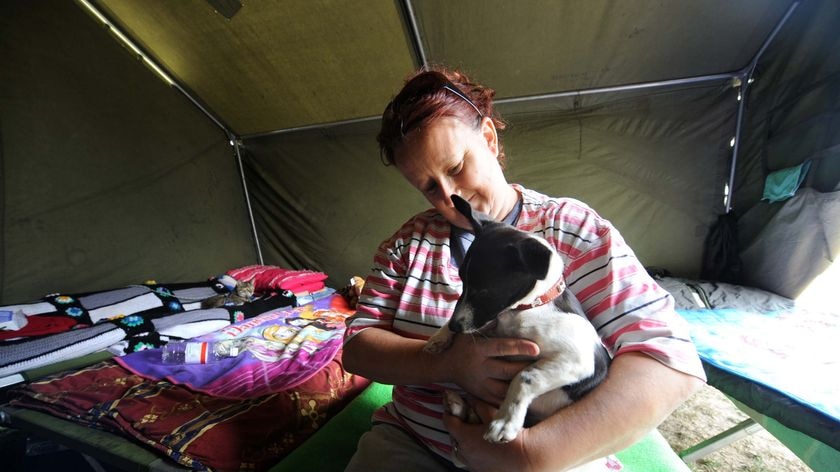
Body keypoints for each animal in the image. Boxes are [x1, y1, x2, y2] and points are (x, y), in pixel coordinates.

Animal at [426, 195, 612, 450]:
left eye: (484, 292)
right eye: (462, 281)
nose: (456, 327)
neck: (527, 308)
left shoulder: (579, 361)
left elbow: (524, 377)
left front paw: (505, 422)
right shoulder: (491, 324)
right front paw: (440, 337)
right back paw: (457, 404)